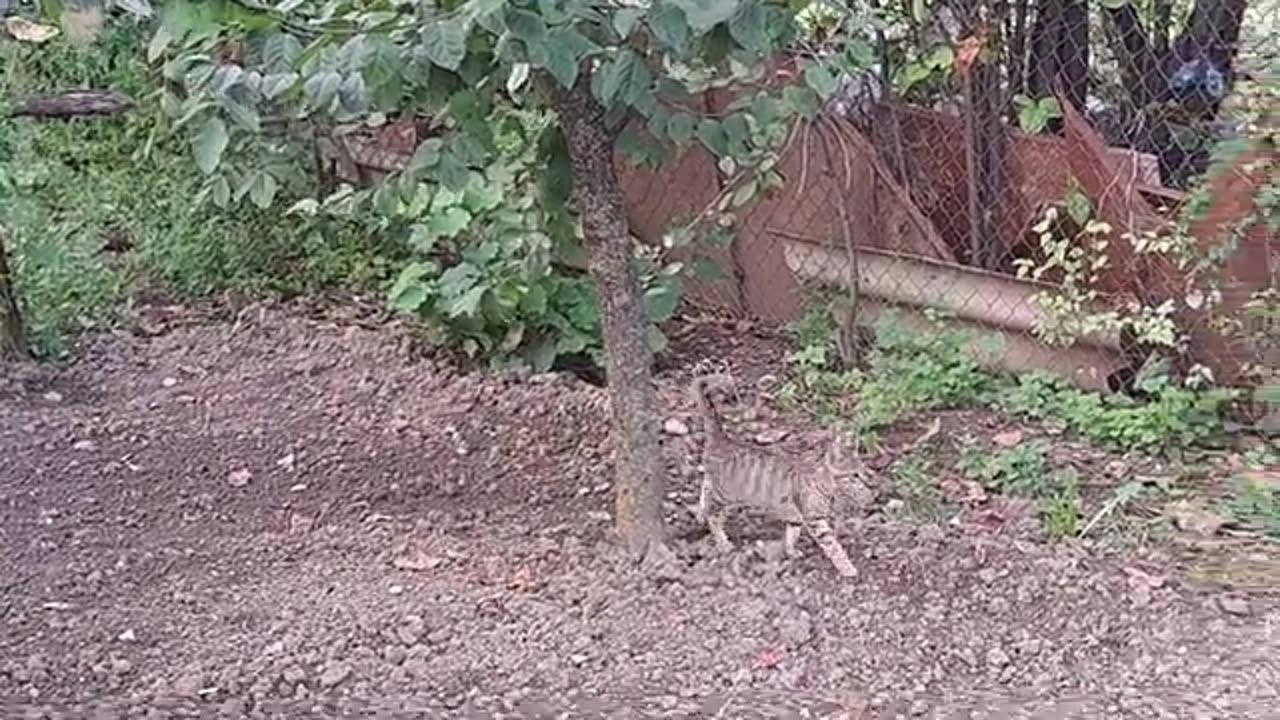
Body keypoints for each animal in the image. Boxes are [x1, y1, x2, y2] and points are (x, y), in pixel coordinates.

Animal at [691, 368, 860, 576]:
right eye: (854, 475)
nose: (865, 480)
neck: (826, 483)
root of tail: (724, 440)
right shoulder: (815, 520)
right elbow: (833, 546)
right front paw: (848, 568)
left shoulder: (797, 517)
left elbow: (792, 533)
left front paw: (791, 551)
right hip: (727, 496)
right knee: (713, 517)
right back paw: (723, 543)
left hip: (724, 492)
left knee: (705, 487)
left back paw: (700, 512)